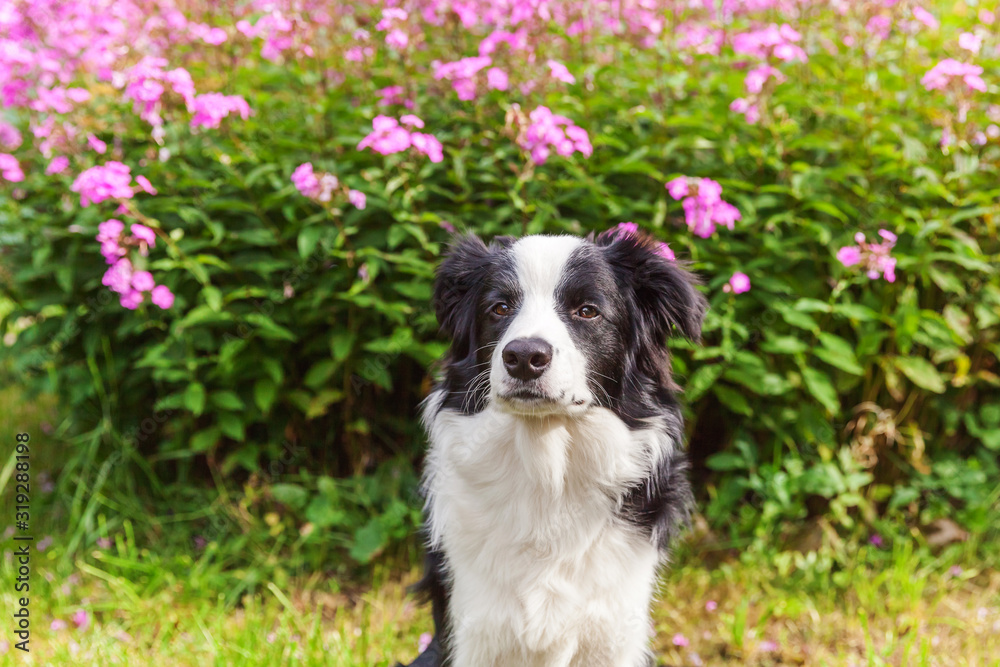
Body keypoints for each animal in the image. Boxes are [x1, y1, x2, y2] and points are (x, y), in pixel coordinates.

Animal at [394, 227, 708, 664]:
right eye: (499, 308)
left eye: (587, 310)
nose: (524, 356)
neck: (547, 471)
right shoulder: (472, 629)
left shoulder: (613, 631)